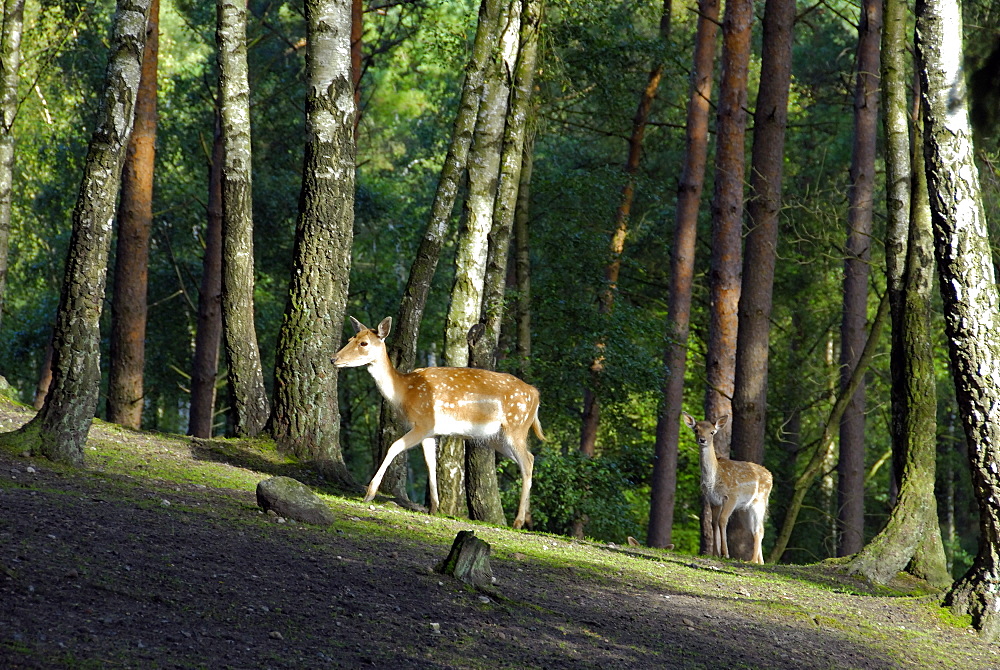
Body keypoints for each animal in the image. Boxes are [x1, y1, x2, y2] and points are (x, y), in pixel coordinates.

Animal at [332, 318, 544, 532]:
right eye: (350, 339)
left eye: (364, 343)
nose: (334, 359)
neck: (404, 392)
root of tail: (536, 394)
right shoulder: (431, 432)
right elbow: (430, 463)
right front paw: (434, 507)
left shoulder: (424, 423)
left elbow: (394, 447)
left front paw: (369, 493)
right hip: (496, 437)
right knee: (530, 458)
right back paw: (525, 518)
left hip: (516, 426)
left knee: (526, 462)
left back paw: (518, 521)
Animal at [680, 412, 772, 564]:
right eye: (696, 430)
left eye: (712, 432)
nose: (702, 440)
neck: (714, 479)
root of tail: (770, 475)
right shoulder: (713, 500)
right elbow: (713, 523)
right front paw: (714, 553)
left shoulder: (731, 496)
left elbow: (723, 520)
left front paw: (725, 553)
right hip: (745, 508)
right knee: (754, 529)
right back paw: (760, 562)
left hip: (760, 501)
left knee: (759, 529)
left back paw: (752, 561)